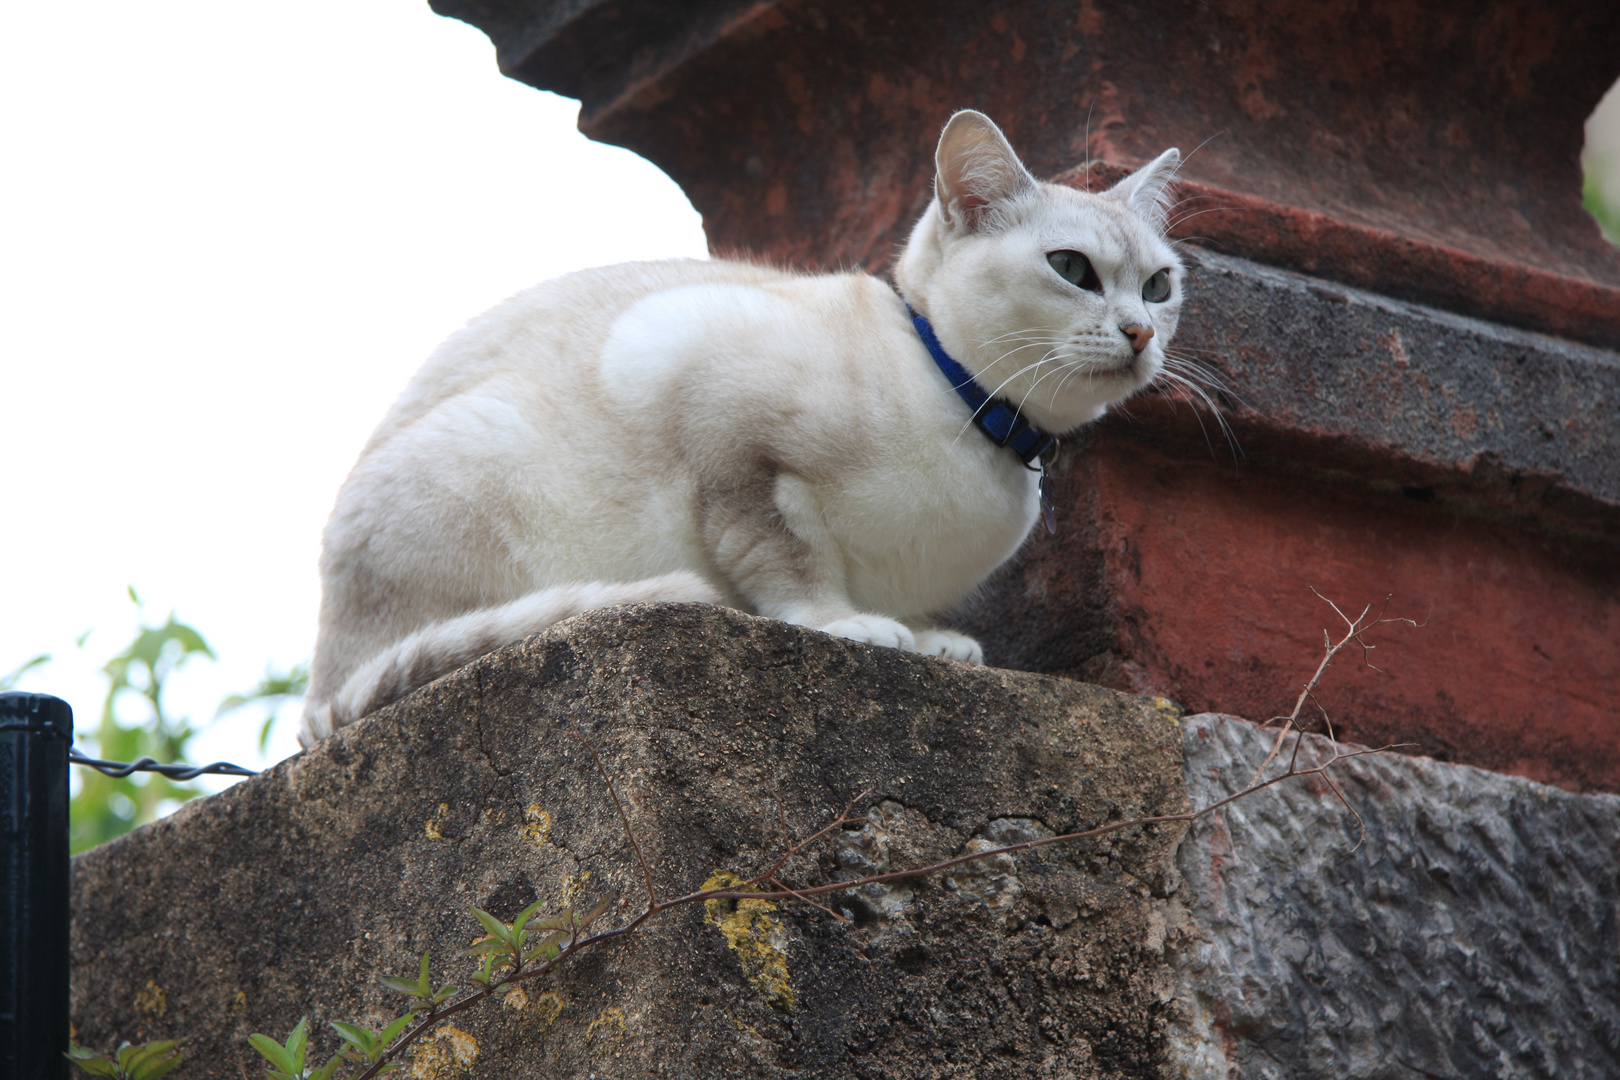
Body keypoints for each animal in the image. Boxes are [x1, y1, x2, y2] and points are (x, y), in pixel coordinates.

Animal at [301, 114, 1179, 748]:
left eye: (1161, 285)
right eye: (1072, 269)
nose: (1141, 334)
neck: (967, 407)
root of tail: (317, 693)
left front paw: (931, 641)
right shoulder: (717, 409)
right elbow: (786, 559)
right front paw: (845, 625)